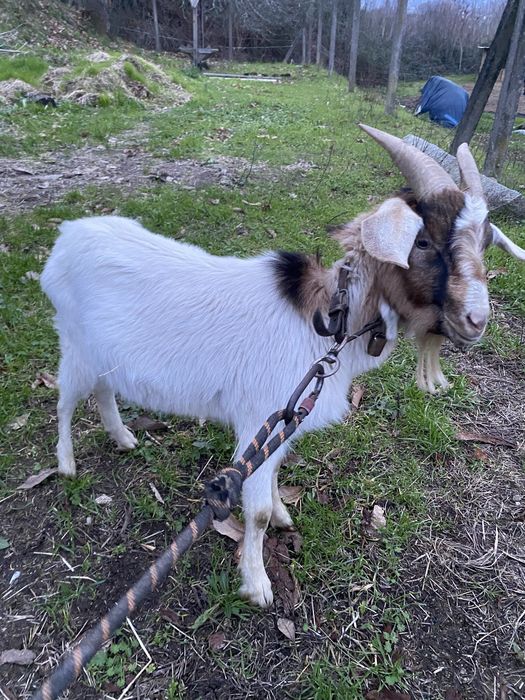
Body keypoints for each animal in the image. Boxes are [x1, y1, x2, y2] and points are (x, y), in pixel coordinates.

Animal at [41, 124, 525, 607]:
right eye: (422, 242)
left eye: (484, 243)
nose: (476, 320)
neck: (327, 326)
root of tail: (67, 235)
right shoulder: (258, 415)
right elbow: (252, 511)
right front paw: (257, 584)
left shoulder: (282, 417)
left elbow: (272, 473)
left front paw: (280, 512)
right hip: (74, 342)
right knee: (65, 401)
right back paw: (66, 463)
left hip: (103, 354)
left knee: (103, 389)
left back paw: (123, 437)